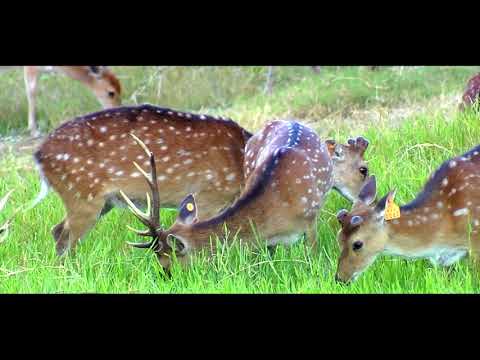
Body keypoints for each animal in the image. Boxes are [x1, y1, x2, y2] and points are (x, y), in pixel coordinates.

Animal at [31, 104, 251, 256]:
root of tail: (39, 155)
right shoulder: (209, 195)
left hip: (101, 201)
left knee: (57, 230)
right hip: (82, 195)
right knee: (66, 239)